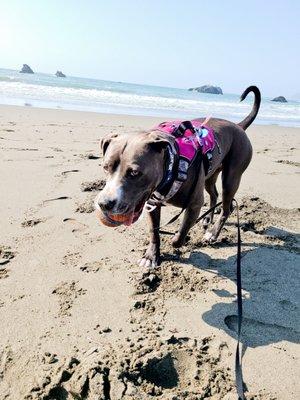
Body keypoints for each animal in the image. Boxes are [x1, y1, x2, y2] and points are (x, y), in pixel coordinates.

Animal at [95, 85, 260, 268]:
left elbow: (180, 235)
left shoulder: (194, 204)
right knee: (215, 195)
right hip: (210, 175)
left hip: (232, 176)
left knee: (226, 207)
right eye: (105, 167)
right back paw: (208, 219)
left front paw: (177, 241)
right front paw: (151, 256)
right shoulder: (152, 204)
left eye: (135, 173)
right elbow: (154, 232)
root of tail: (238, 126)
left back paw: (213, 233)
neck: (172, 164)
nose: (104, 204)